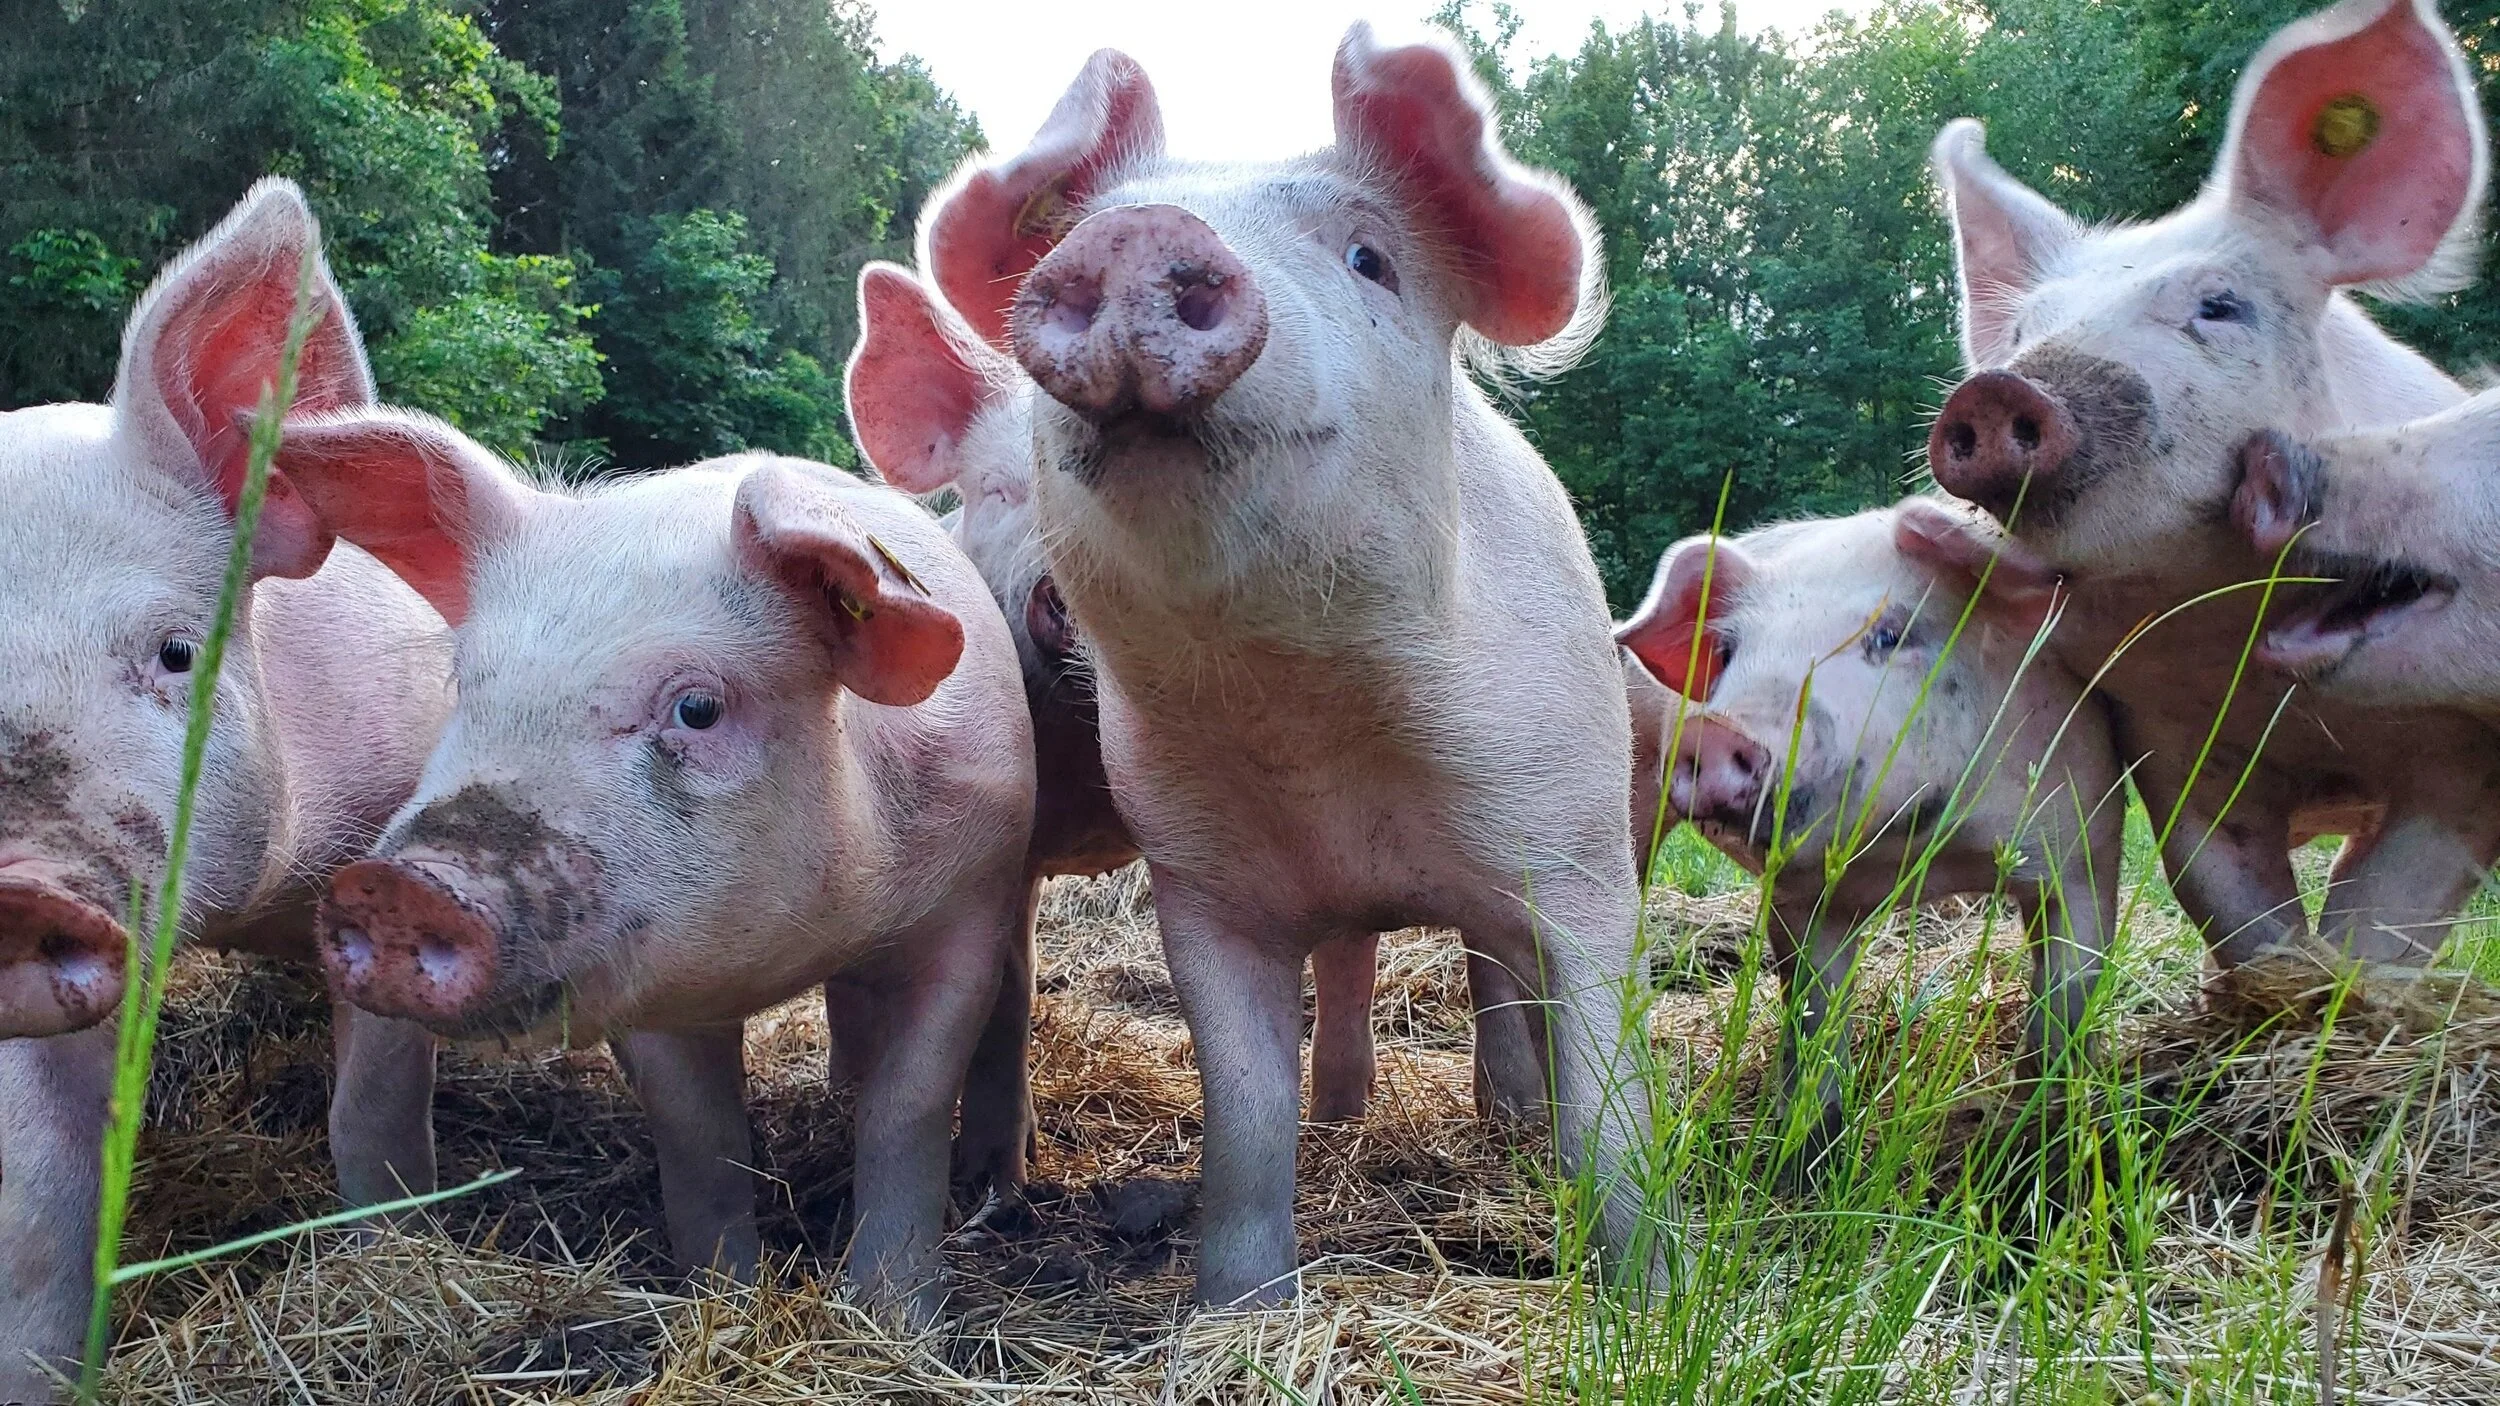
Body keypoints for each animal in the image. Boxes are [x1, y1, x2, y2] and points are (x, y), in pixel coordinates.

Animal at [0, 182, 450, 1399]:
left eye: (172, 651)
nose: (22, 883)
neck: (248, 911)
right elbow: (45, 1198)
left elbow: (371, 1114)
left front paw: (381, 1251)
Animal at [265, 412, 1036, 1323]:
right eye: (466, 684)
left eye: (698, 707)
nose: (402, 885)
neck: (818, 932)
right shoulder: (645, 978)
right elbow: (698, 1135)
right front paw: (723, 1299)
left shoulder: (971, 897)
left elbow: (908, 1107)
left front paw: (896, 1319)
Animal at [1616, 499, 2120, 1177]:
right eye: (1727, 651)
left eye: (1890, 636)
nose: (1711, 733)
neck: (1921, 848)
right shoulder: (1801, 894)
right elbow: (1813, 1018)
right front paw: (1804, 1168)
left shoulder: (2083, 848)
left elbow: (2065, 1006)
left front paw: (2045, 1158)